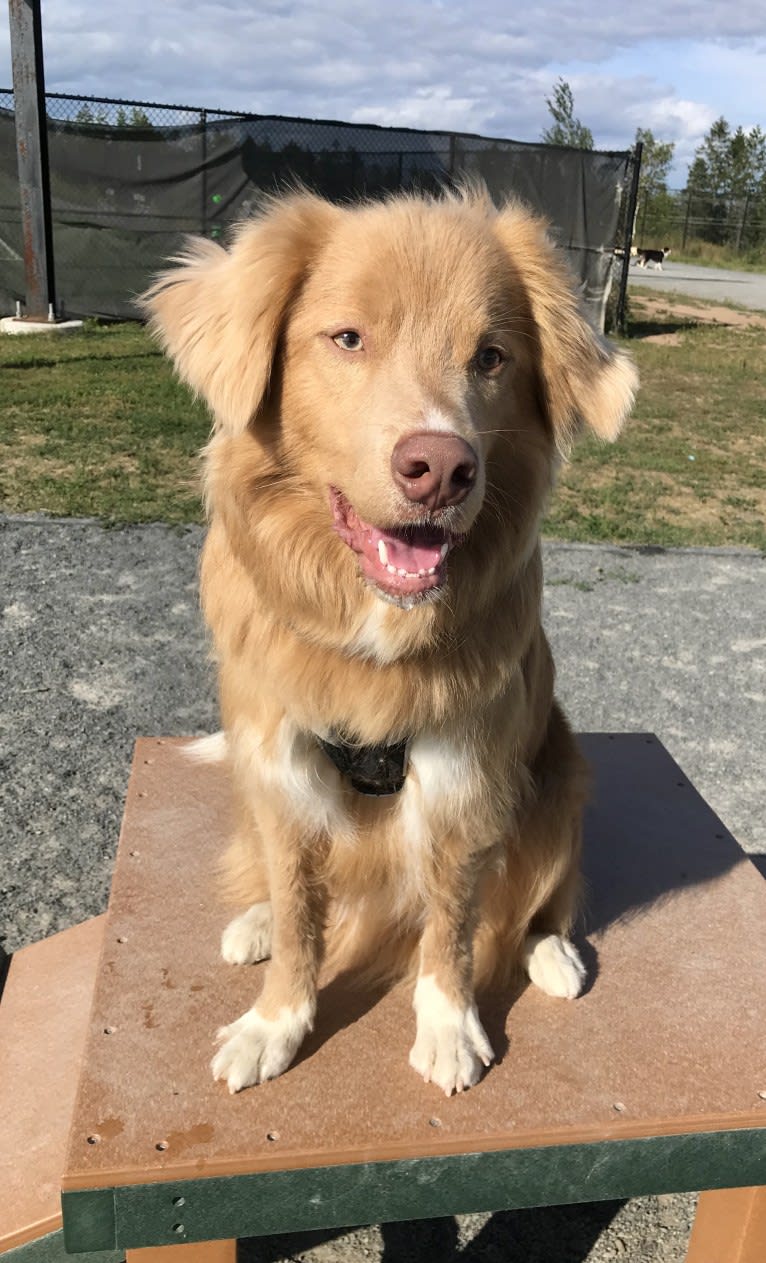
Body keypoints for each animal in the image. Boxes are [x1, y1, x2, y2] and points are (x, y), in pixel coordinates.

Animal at [140, 186, 639, 1096]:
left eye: (491, 356)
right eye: (347, 338)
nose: (440, 468)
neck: (375, 630)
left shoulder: (464, 783)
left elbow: (454, 925)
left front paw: (447, 1025)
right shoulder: (281, 767)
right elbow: (302, 918)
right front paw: (275, 1021)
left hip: (558, 782)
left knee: (543, 897)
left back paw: (552, 951)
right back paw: (256, 918)